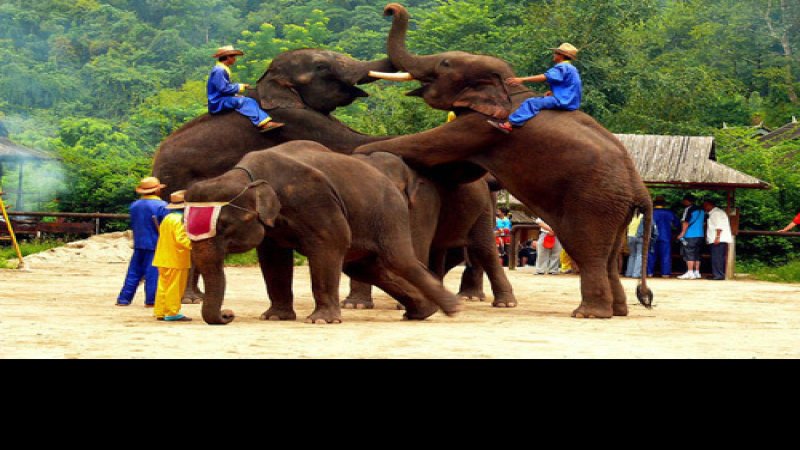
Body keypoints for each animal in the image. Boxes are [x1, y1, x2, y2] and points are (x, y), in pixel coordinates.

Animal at [184, 140, 463, 325]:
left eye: (224, 226)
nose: (228, 314)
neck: (246, 175)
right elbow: (273, 258)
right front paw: (275, 318)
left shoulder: (313, 198)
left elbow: (329, 244)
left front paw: (320, 321)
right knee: (367, 267)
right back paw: (422, 312)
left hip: (389, 213)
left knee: (400, 260)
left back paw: (452, 308)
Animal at [356, 3, 654, 319]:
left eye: (445, 64)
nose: (389, 10)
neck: (508, 90)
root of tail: (640, 188)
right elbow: (459, 171)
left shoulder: (483, 127)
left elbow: (428, 147)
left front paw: (361, 151)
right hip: (617, 209)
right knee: (609, 256)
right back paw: (618, 311)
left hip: (594, 202)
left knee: (587, 250)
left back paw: (587, 313)